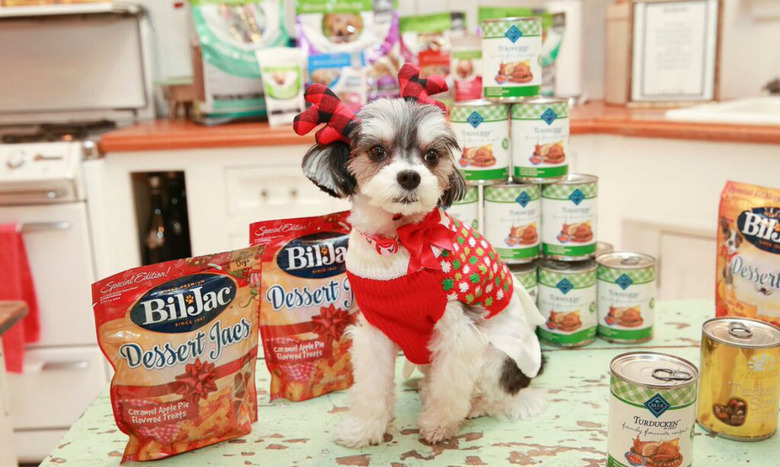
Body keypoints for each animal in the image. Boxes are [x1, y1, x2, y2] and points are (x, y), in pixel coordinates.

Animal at [290, 64, 544, 448]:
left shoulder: (458, 329)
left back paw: (477, 405)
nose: (410, 176)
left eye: (432, 156)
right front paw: (364, 429)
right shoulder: (376, 327)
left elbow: (449, 387)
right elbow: (372, 387)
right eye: (377, 152)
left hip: (497, 358)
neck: (396, 243)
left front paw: (438, 425)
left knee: (498, 394)